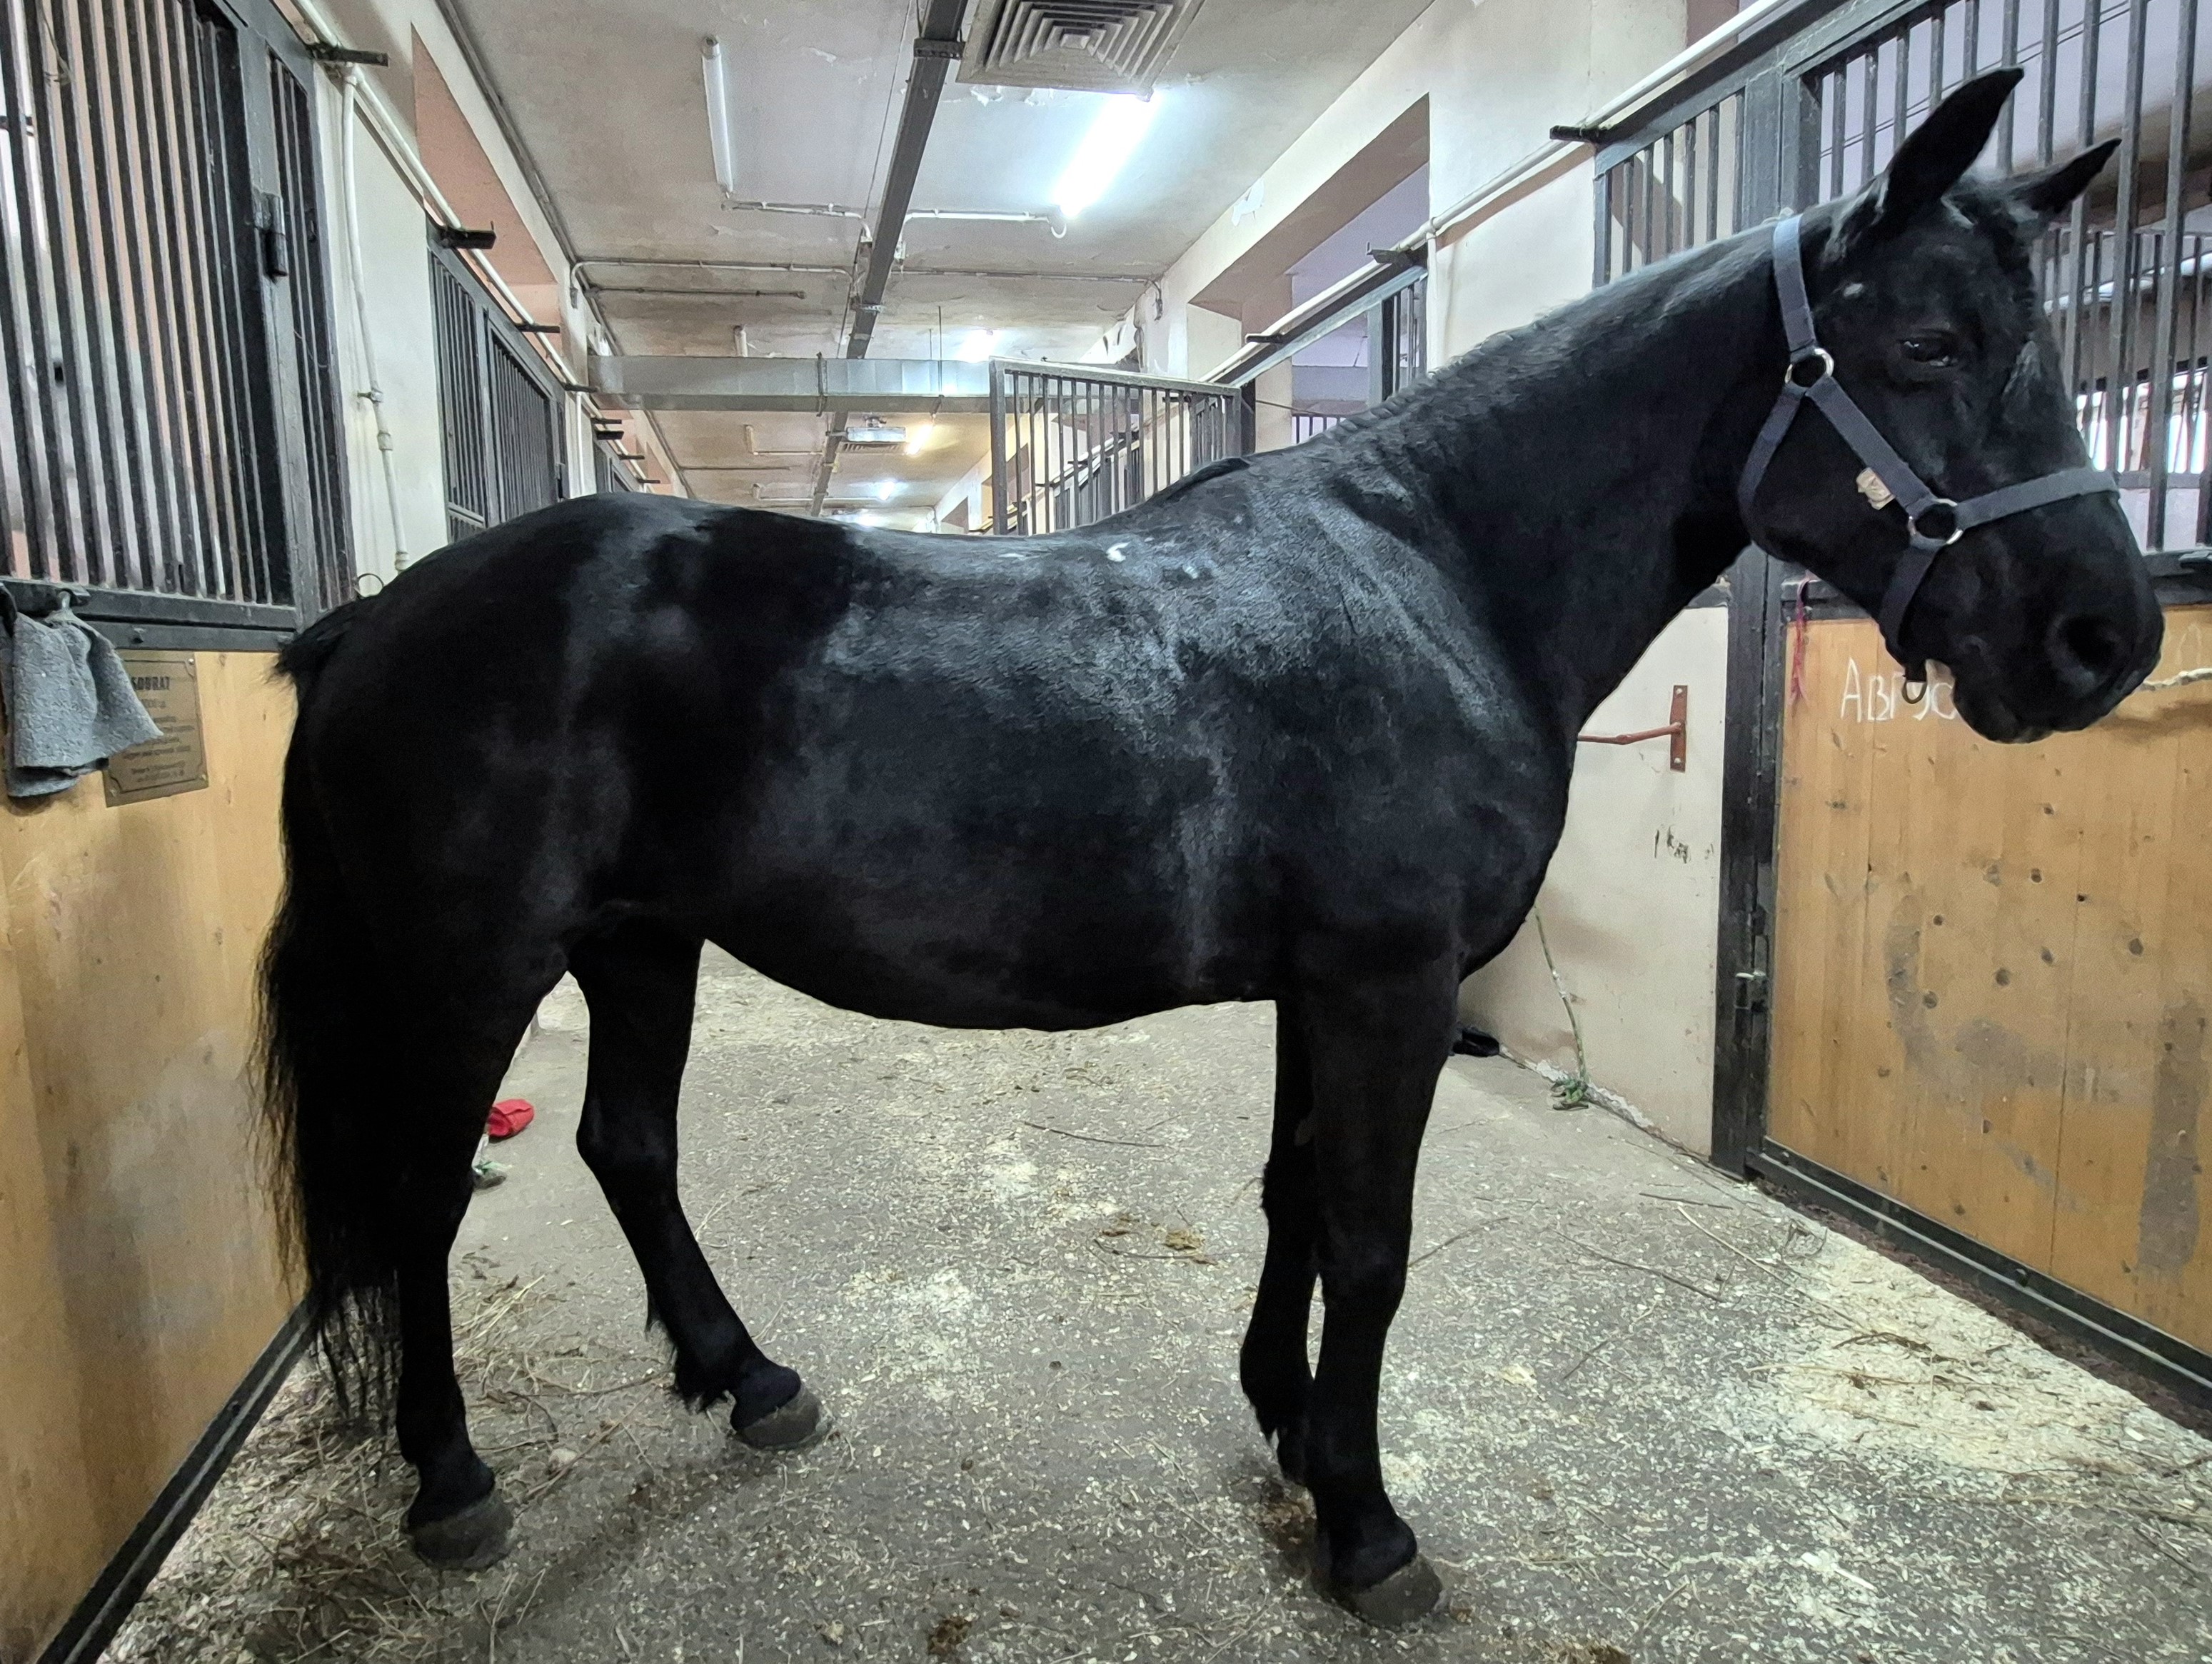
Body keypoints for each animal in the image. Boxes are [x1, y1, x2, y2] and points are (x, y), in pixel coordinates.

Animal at [259, 72, 2157, 1626]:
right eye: (1924, 347)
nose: (2103, 639)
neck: (1434, 571)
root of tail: (374, 620)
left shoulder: (1329, 988)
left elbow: (1295, 1198)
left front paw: (1289, 1430)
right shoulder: (1390, 983)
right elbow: (1372, 1238)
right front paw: (1369, 1527)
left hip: (640, 939)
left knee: (627, 1143)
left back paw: (752, 1377)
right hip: (478, 964)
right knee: (424, 1192)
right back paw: (454, 1482)